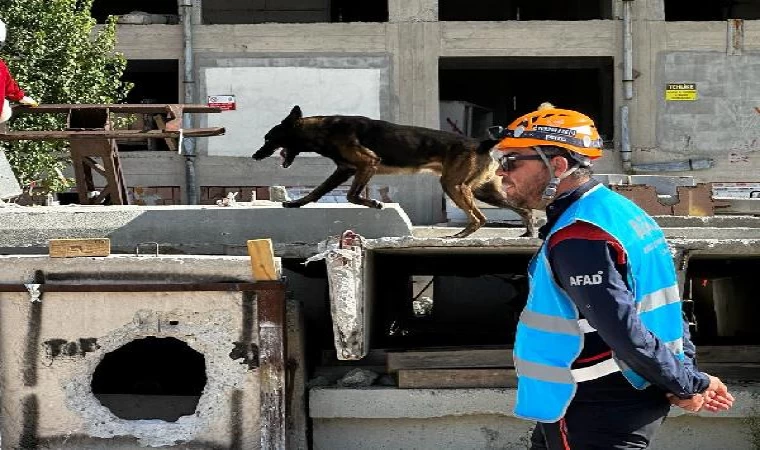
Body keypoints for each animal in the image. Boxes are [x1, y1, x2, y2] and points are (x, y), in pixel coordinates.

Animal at [252, 106, 532, 239]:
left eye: (268, 138)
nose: (255, 156)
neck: (323, 130)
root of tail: (482, 143)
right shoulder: (344, 171)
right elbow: (317, 192)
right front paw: (295, 203)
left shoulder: (368, 164)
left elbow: (352, 196)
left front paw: (375, 204)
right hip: (482, 191)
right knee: (522, 210)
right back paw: (528, 232)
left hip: (453, 186)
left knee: (478, 218)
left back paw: (460, 235)